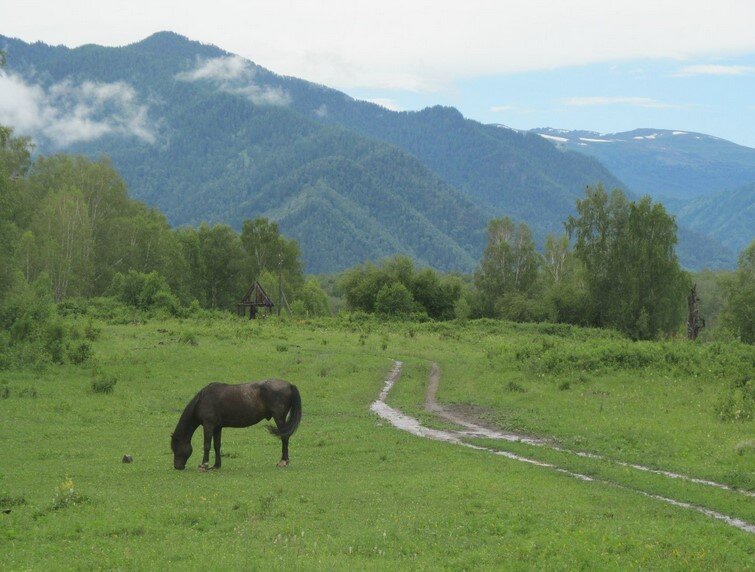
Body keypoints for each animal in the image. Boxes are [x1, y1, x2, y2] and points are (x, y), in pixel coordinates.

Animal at [171, 380, 302, 470]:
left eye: (175, 447)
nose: (177, 467)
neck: (203, 400)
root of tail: (289, 385)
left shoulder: (209, 425)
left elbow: (207, 445)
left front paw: (204, 465)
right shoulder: (217, 427)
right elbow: (216, 445)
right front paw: (216, 465)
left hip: (279, 418)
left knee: (284, 437)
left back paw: (283, 461)